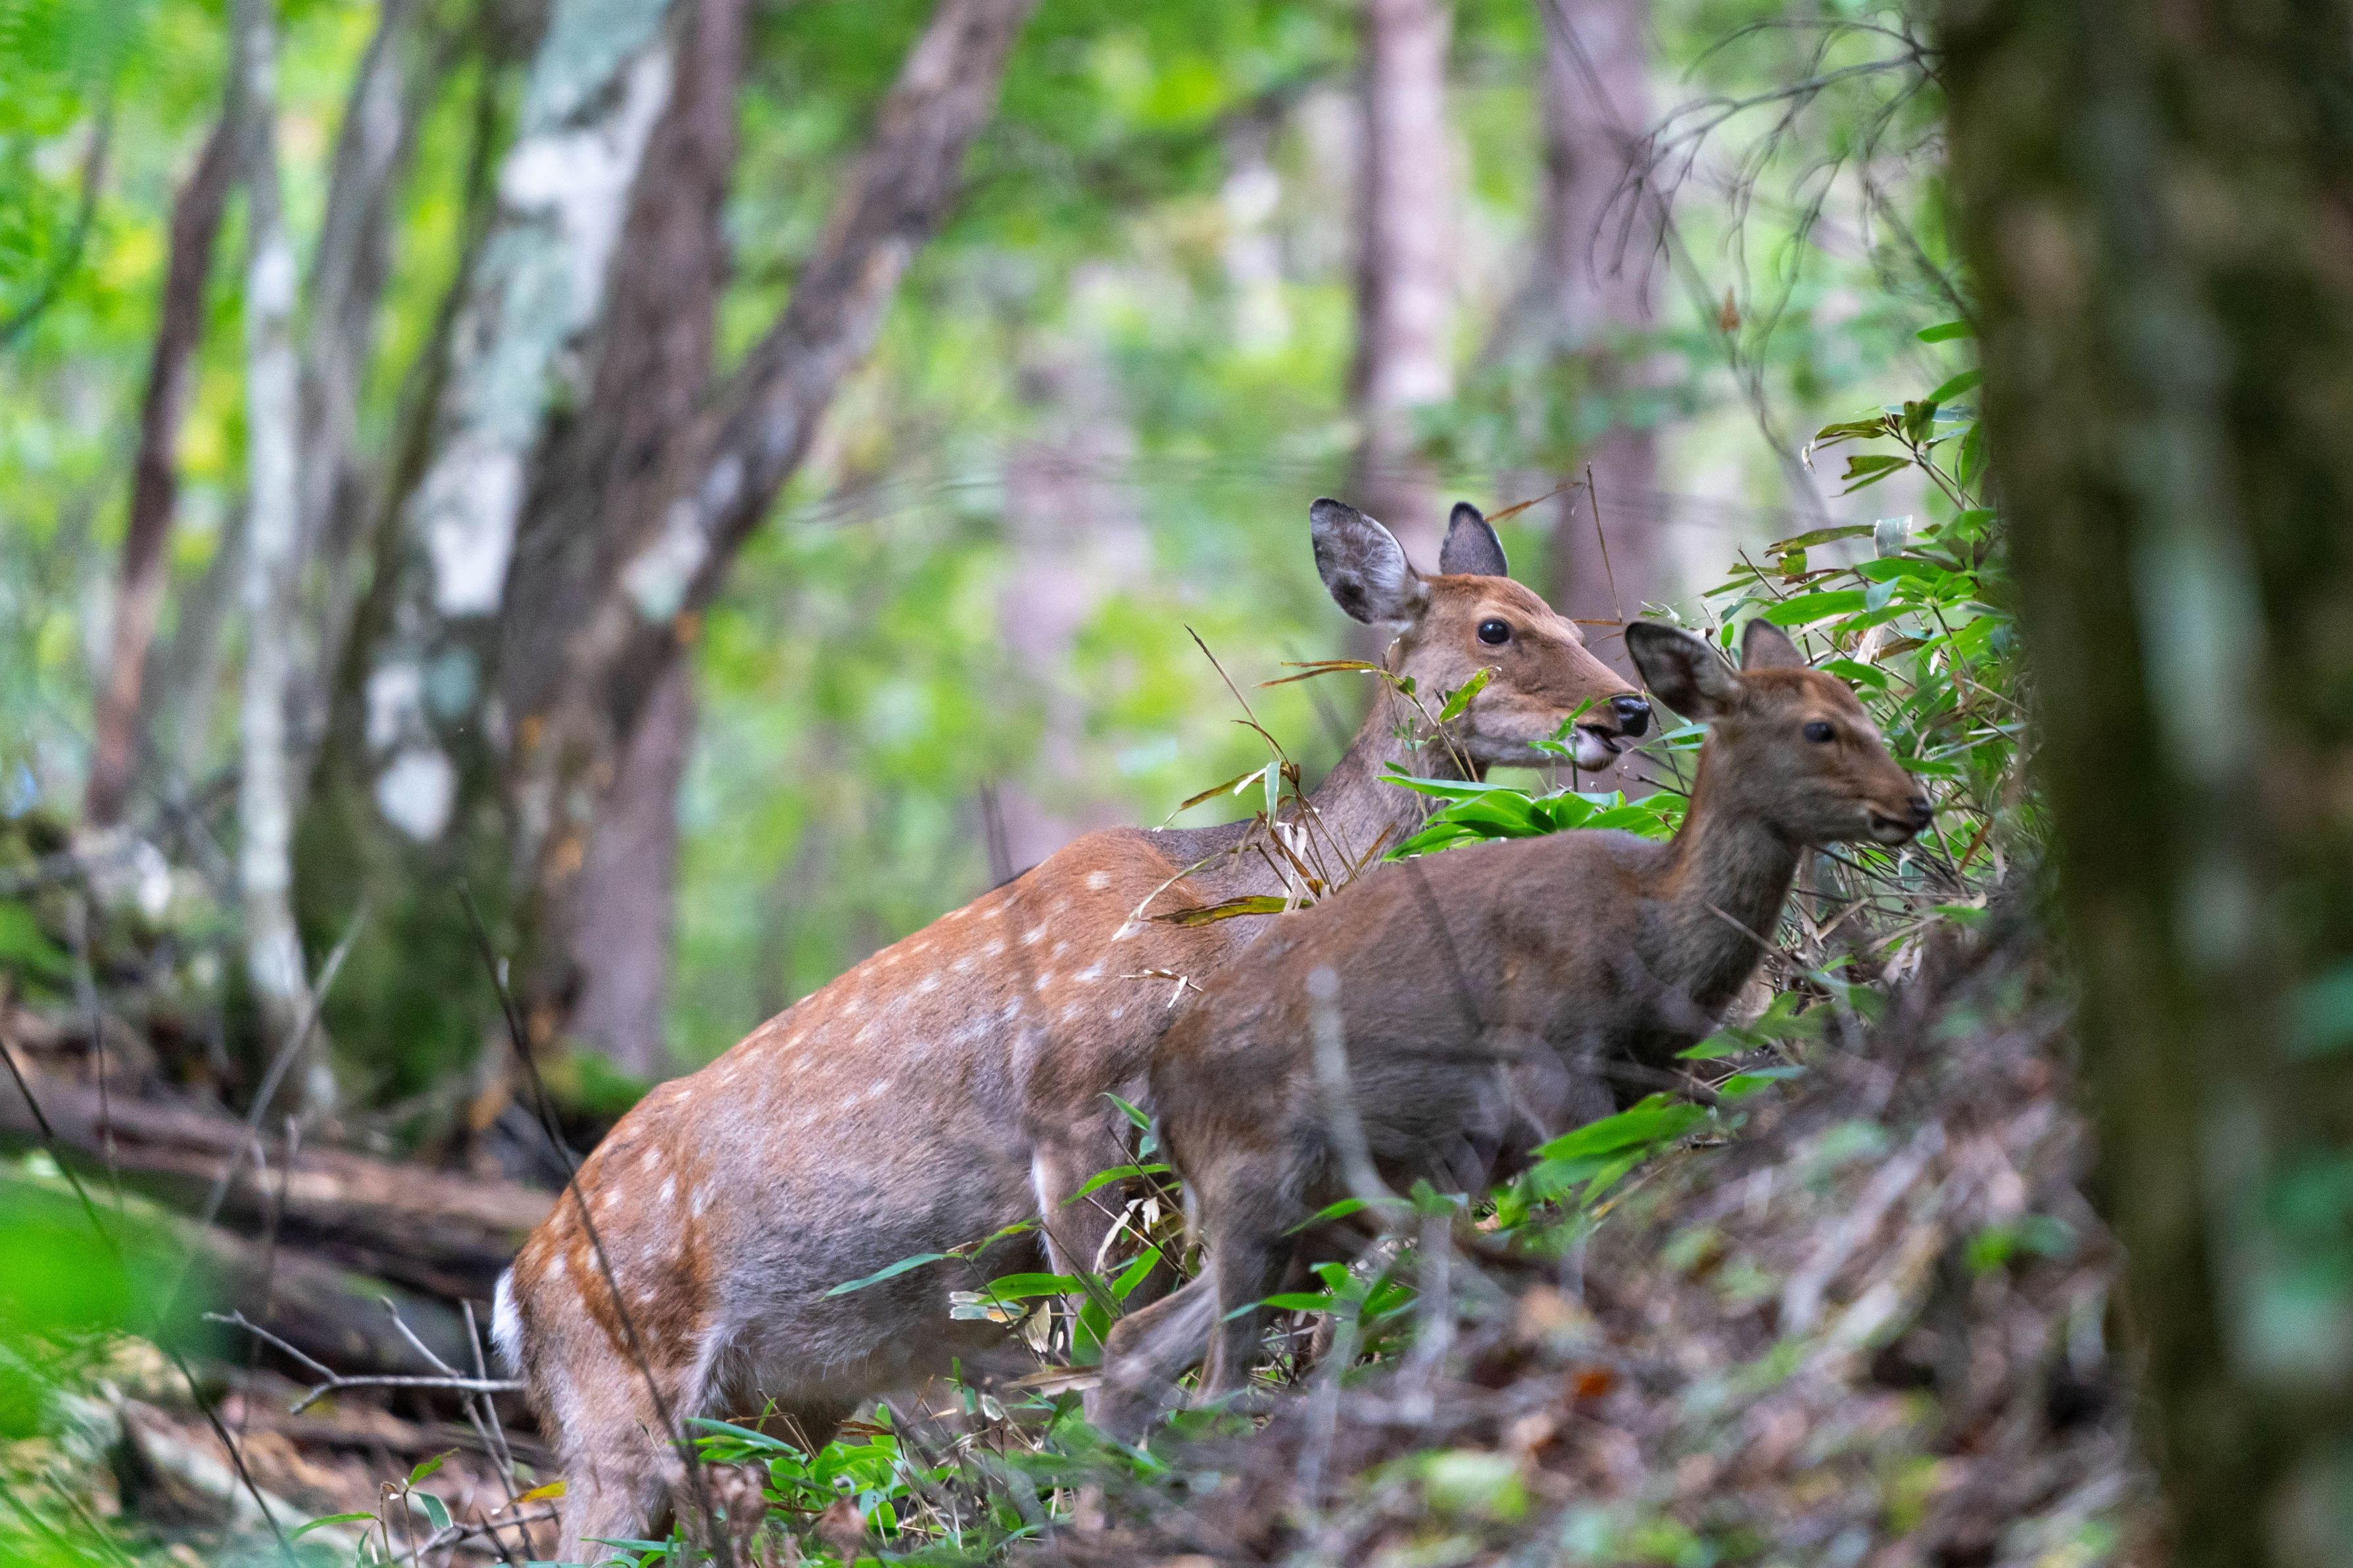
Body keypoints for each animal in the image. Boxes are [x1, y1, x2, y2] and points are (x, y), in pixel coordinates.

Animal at [494, 496, 1653, 1563]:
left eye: (1561, 617)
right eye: (1496, 629)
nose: (1633, 705)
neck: (1219, 920)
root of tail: (519, 1291)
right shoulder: (1069, 1105)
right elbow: (1096, 1324)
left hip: (772, 1396)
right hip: (617, 1392)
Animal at [1093, 617, 1933, 1437]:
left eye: (1857, 705)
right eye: (1818, 728)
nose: (1914, 805)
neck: (1647, 937)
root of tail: (1160, 1108)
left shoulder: (1648, 1076)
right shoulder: (1547, 1061)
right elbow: (1601, 1199)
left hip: (1320, 1212)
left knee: (1140, 1341)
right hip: (1254, 1183)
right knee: (1210, 1381)